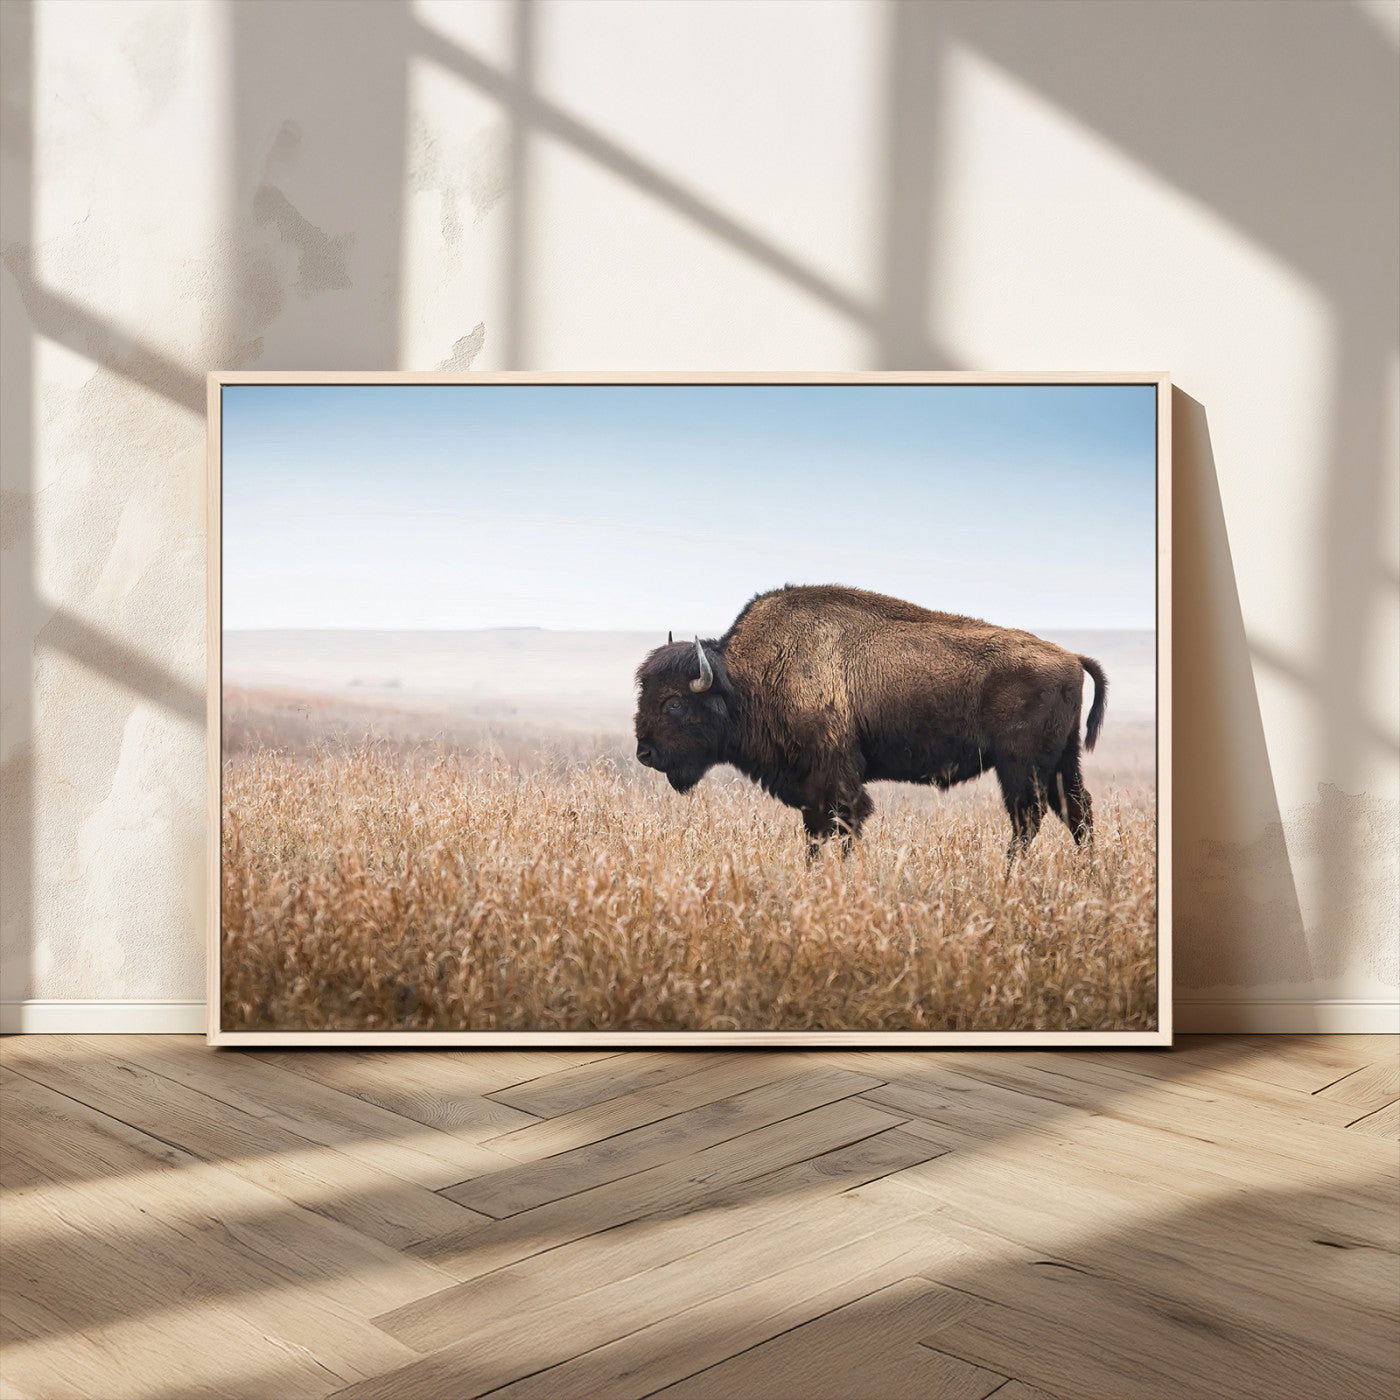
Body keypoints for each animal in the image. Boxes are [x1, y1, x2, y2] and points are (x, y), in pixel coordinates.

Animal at [634, 584, 1107, 859]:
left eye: (674, 702)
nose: (644, 753)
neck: (746, 678)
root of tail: (1070, 657)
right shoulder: (811, 788)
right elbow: (816, 833)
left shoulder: (834, 779)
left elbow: (843, 825)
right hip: (1061, 763)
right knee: (1077, 812)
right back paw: (1086, 873)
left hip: (1020, 766)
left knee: (1029, 818)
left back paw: (1011, 874)